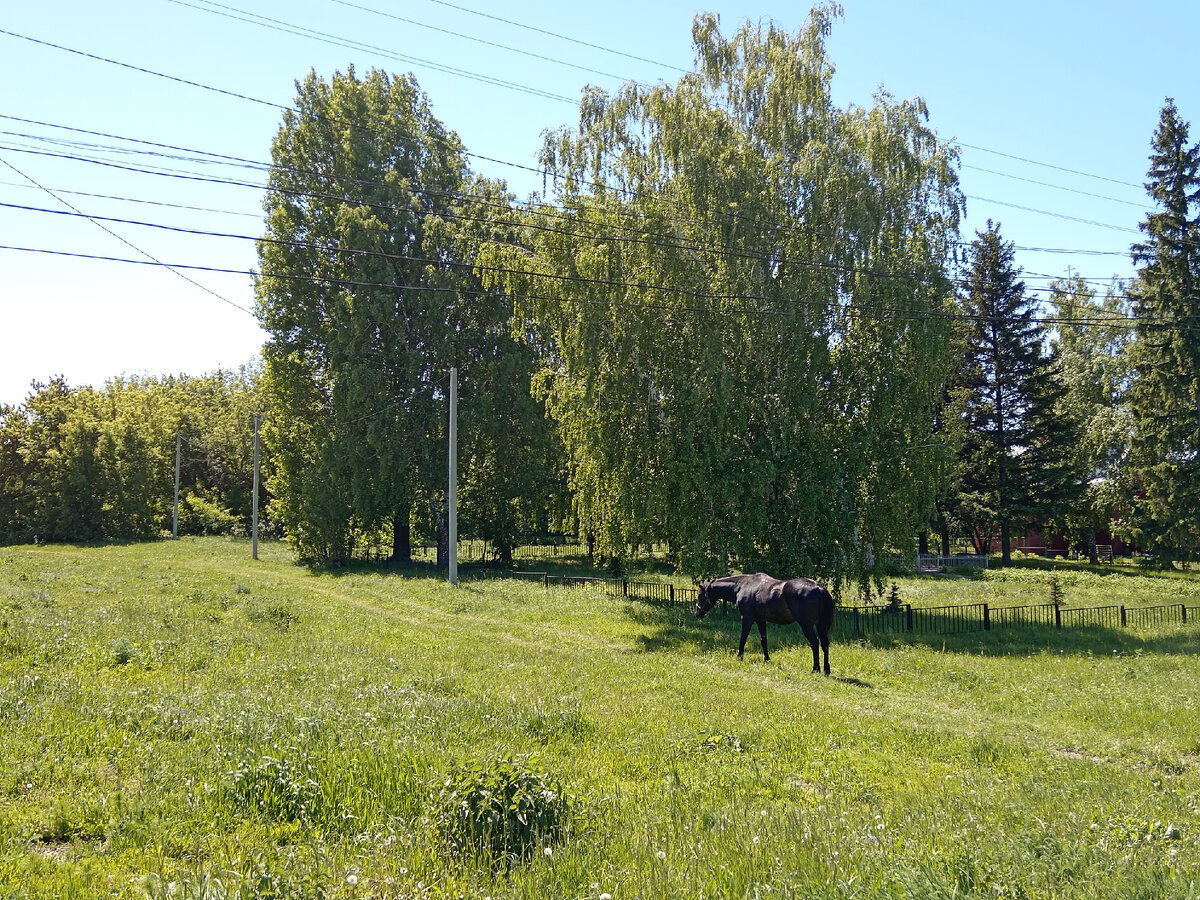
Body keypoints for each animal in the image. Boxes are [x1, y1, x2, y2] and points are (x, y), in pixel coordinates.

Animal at [696, 573, 835, 672]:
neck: (742, 586)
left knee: (814, 643)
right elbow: (764, 641)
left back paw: (815, 669)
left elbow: (743, 638)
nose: (697, 613)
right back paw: (826, 670)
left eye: (700, 595)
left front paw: (739, 657)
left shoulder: (747, 618)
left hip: (807, 625)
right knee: (825, 644)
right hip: (820, 625)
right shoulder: (760, 620)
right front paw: (767, 660)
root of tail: (820, 589)